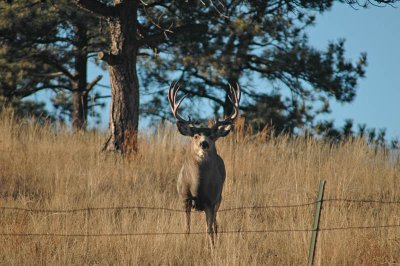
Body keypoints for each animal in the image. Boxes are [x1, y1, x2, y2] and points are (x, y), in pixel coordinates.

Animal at [168, 82, 241, 246]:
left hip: (219, 198)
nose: (204, 144)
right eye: (195, 135)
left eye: (212, 136)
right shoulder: (184, 198)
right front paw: (185, 244)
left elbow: (209, 229)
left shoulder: (211, 201)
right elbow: (187, 229)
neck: (197, 187)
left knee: (214, 224)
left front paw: (212, 247)